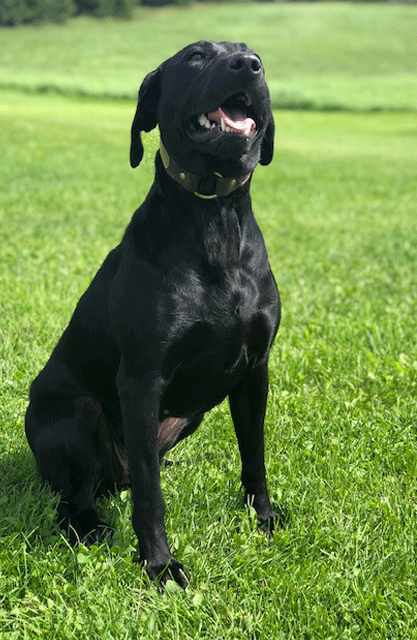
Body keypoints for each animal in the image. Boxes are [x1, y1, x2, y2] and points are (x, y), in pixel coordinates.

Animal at [25, 41, 280, 592]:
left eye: (254, 54)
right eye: (196, 55)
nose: (249, 66)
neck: (214, 219)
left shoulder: (255, 370)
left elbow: (254, 453)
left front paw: (264, 516)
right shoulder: (142, 379)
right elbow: (149, 492)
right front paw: (160, 564)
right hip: (76, 414)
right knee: (76, 495)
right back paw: (89, 526)